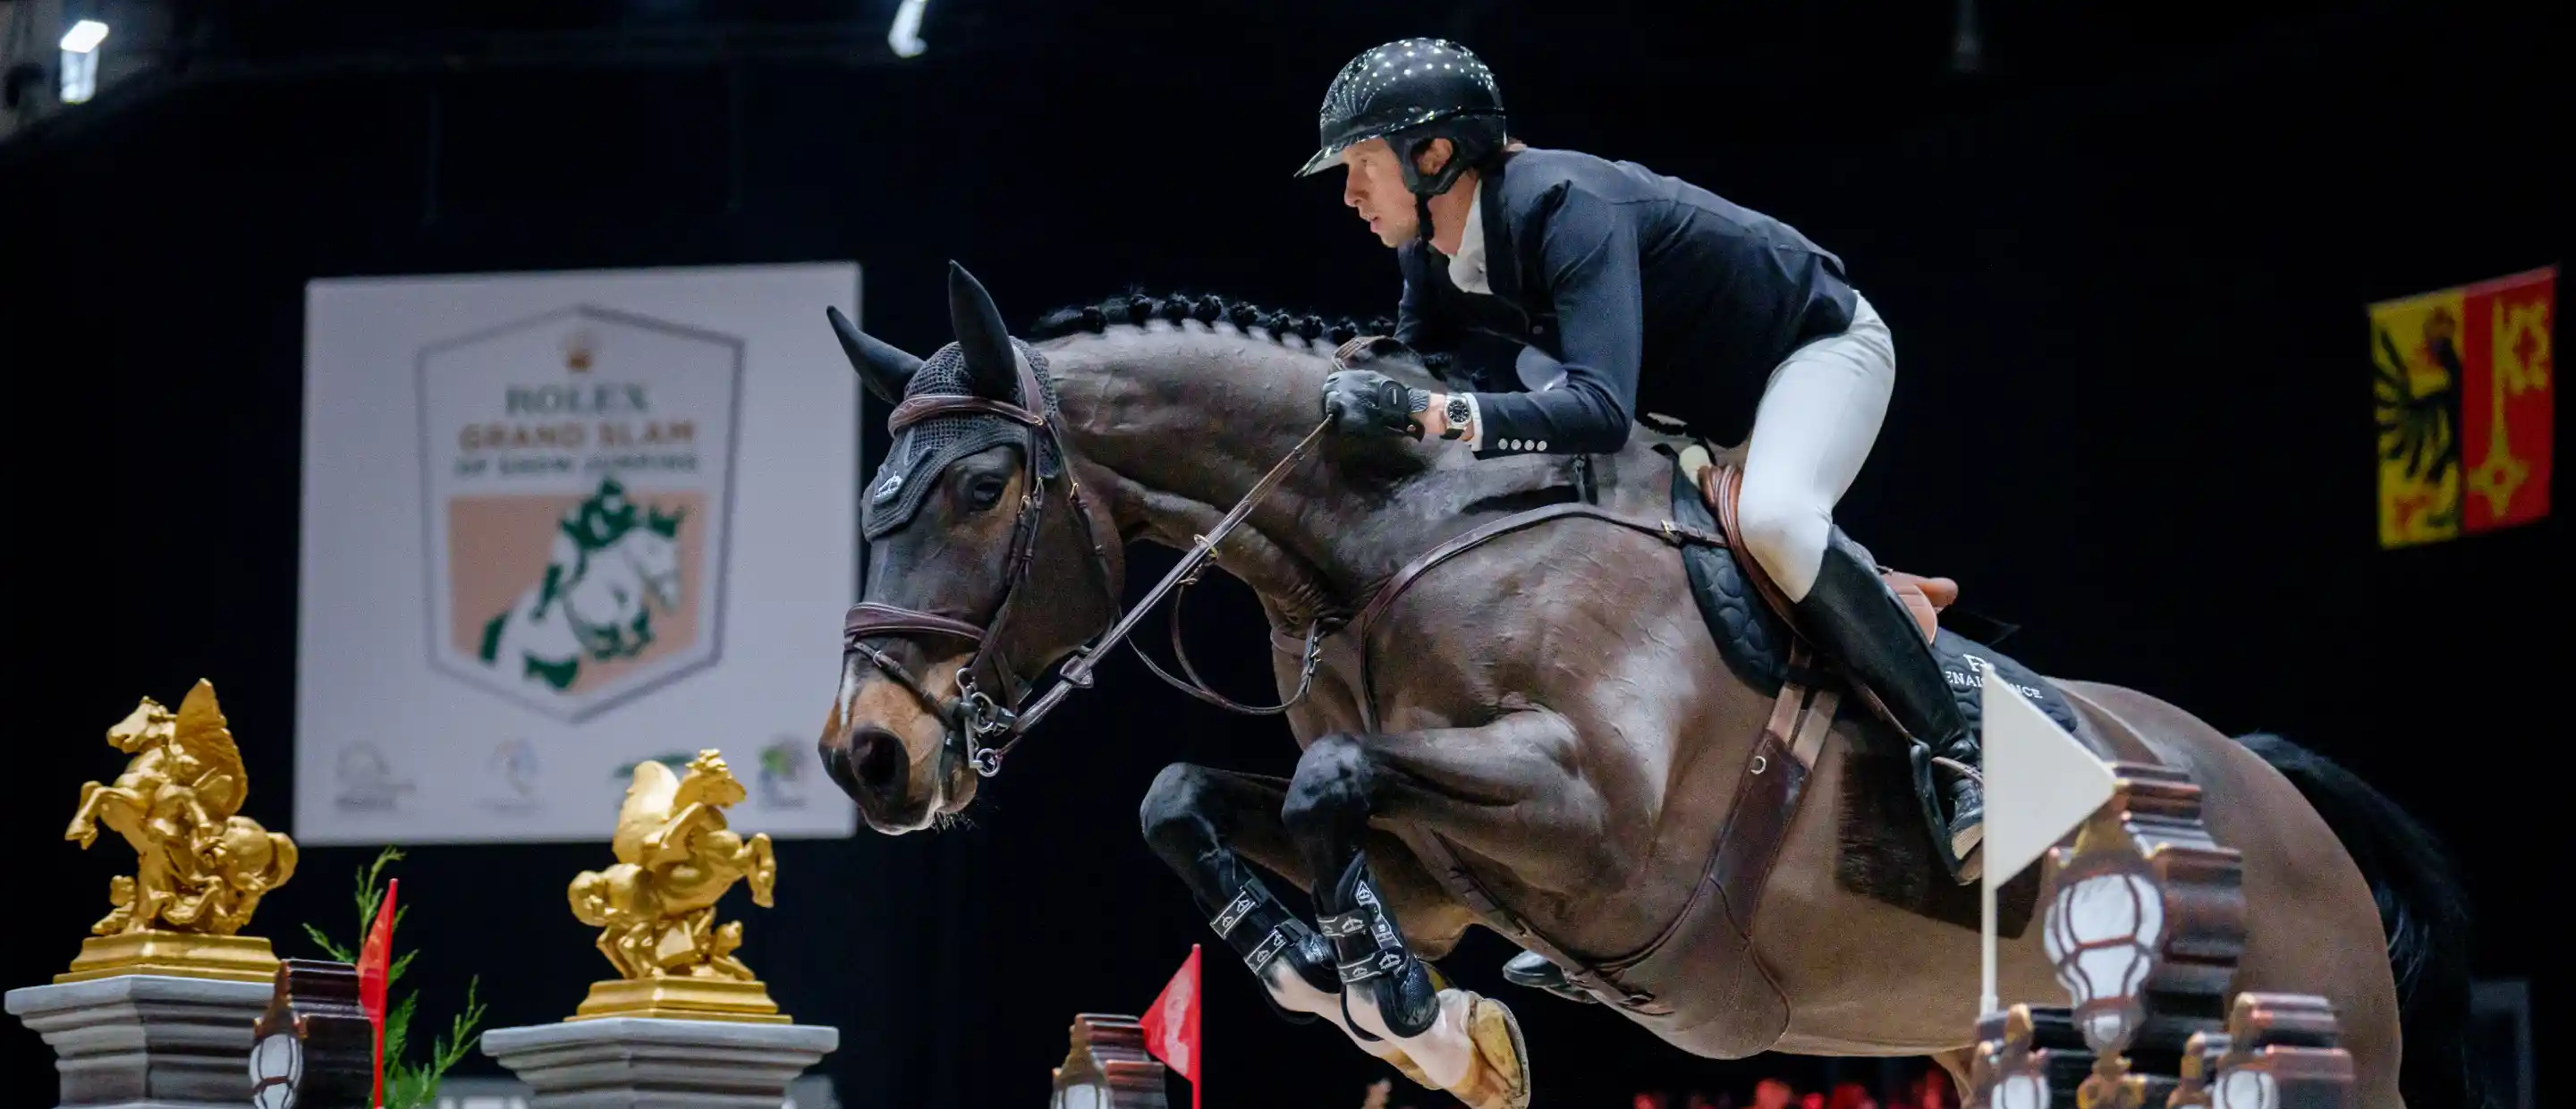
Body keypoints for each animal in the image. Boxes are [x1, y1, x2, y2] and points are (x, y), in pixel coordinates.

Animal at [818, 267, 2472, 1109]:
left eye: (978, 487)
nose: (865, 759)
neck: (1394, 541)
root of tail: (2271, 793)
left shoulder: (1591, 815)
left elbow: (1331, 782)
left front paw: (1410, 1015)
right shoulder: (1436, 867)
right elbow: (1196, 800)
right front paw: (1377, 1003)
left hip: (2311, 1034)